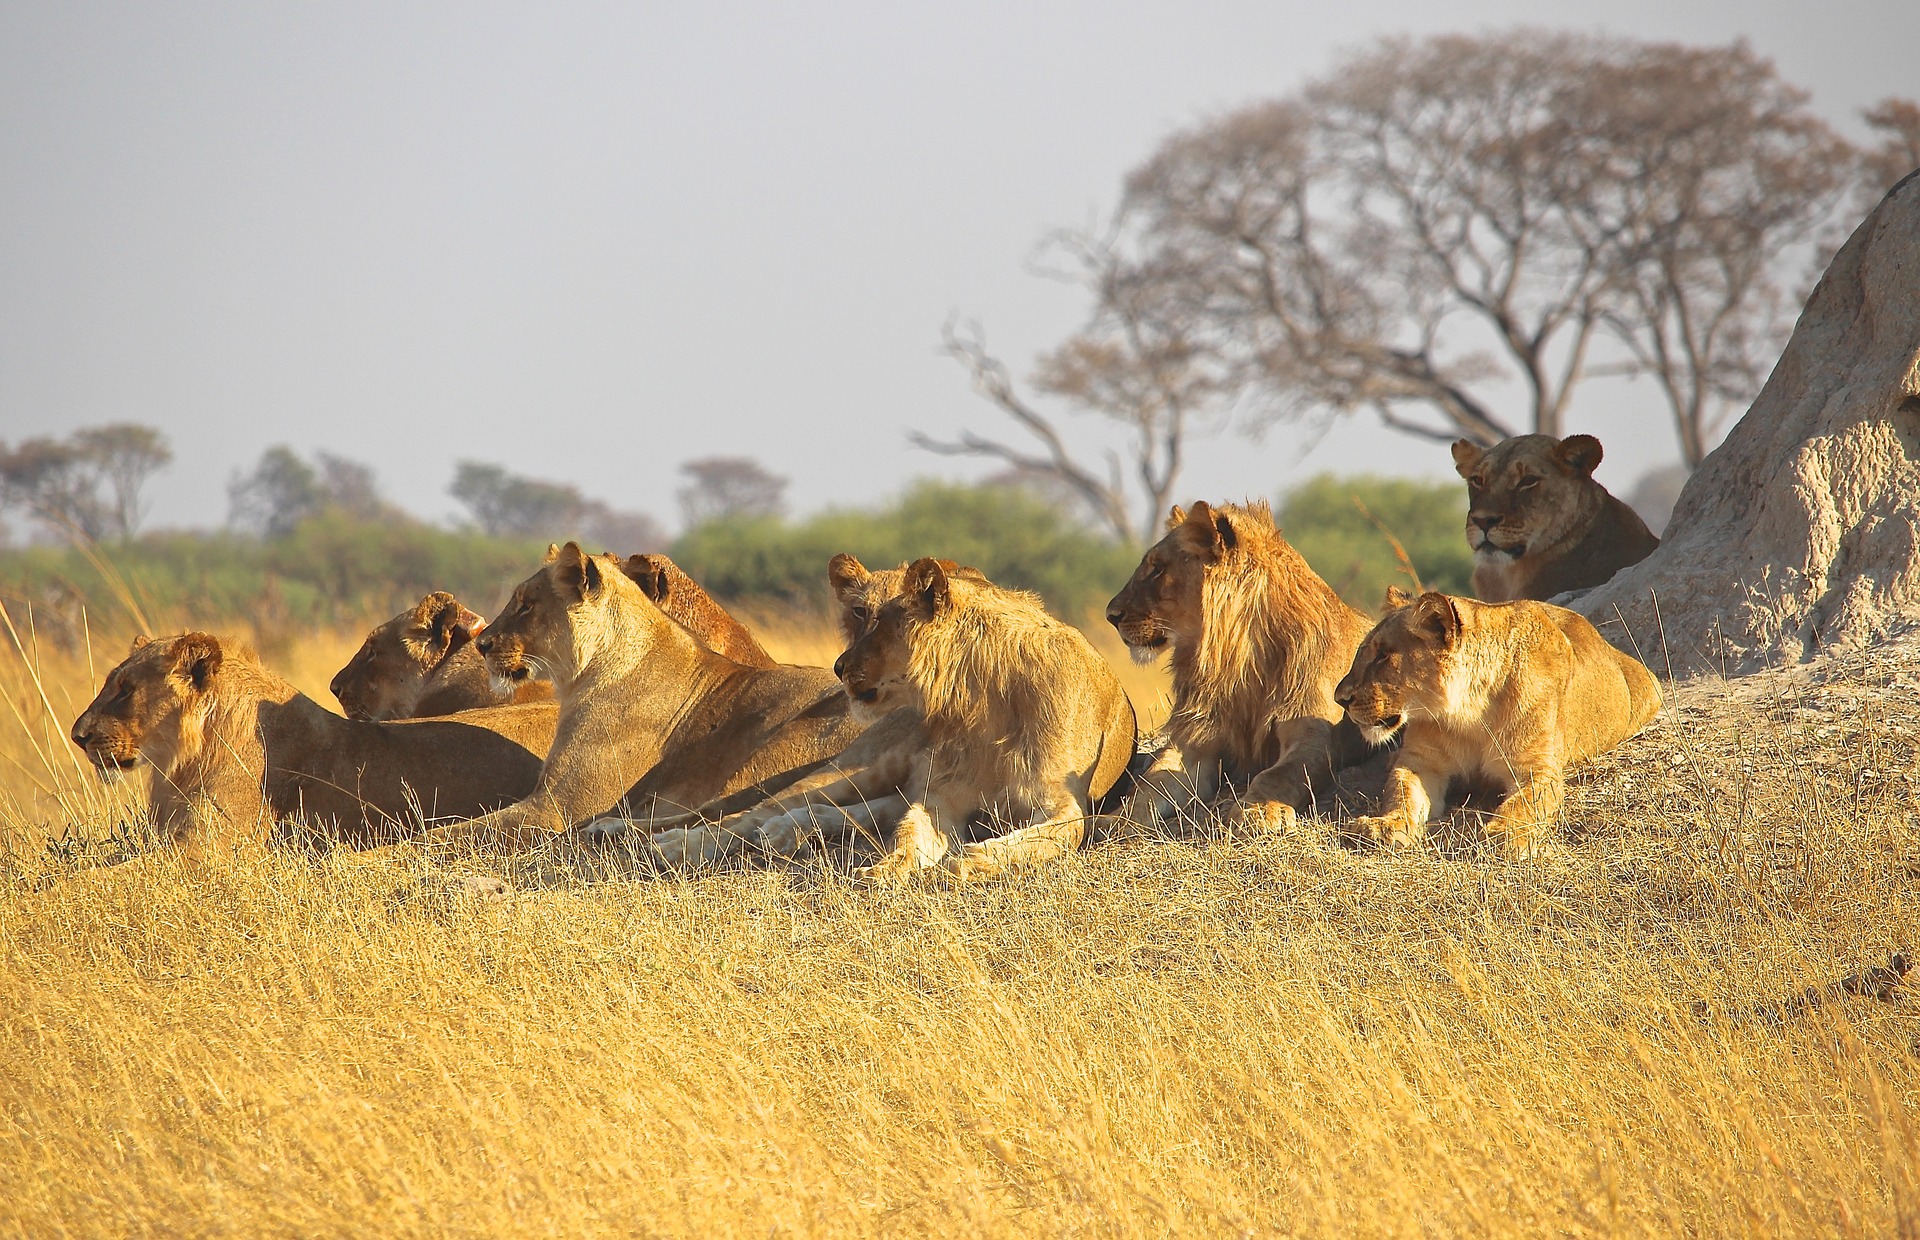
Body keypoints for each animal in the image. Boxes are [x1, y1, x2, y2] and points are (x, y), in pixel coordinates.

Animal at [432, 542, 870, 850]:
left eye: (526, 605)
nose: (482, 645)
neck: (581, 676)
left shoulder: (555, 807)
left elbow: (456, 832)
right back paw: (610, 829)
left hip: (780, 744)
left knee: (735, 812)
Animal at [832, 557, 1136, 883]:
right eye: (862, 614)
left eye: (883, 623)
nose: (838, 667)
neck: (984, 700)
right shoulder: (944, 793)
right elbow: (909, 832)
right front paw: (885, 868)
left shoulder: (1064, 801)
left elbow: (1034, 841)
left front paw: (964, 861)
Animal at [1105, 500, 1381, 833]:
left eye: (1158, 568)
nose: (1111, 615)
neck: (1239, 661)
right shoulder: (1195, 741)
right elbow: (1150, 784)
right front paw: (1116, 820)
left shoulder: (1317, 736)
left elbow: (1277, 775)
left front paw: (1258, 811)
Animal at [1334, 589, 1662, 857]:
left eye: (1383, 655)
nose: (1340, 698)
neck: (1469, 714)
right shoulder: (1422, 762)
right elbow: (1401, 793)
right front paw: (1384, 826)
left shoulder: (1537, 768)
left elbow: (1524, 803)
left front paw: (1504, 834)